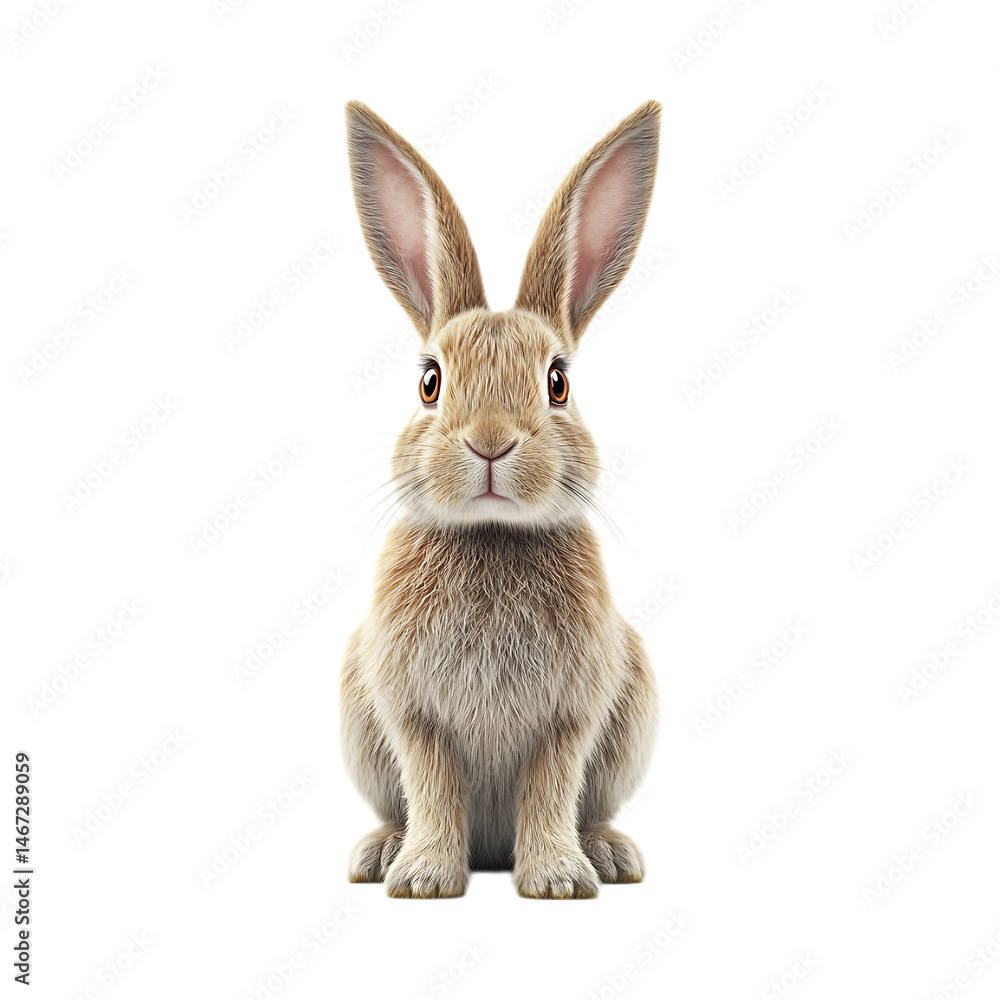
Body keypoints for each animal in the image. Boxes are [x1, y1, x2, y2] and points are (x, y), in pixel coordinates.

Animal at [340, 99, 660, 898]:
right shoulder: (411, 713)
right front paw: (424, 879)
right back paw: (379, 853)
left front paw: (557, 881)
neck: (490, 532)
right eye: (430, 382)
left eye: (558, 382)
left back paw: (608, 855)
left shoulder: (570, 717)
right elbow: (430, 783)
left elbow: (551, 786)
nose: (490, 443)